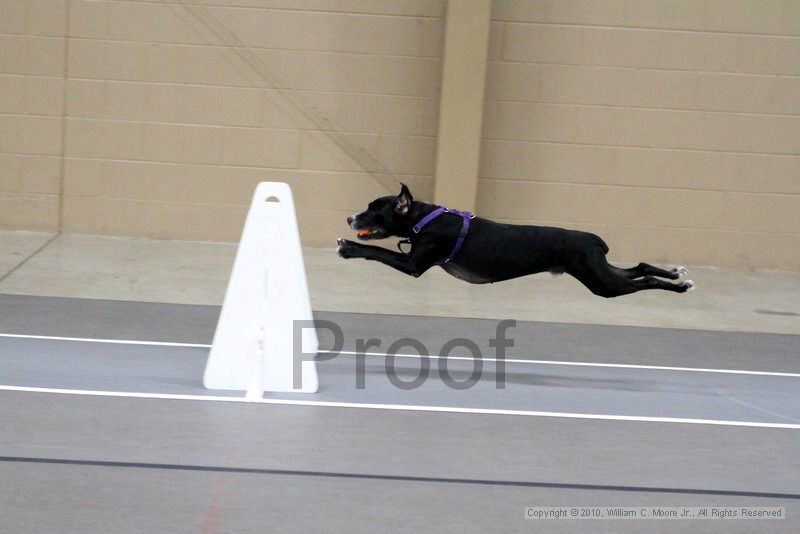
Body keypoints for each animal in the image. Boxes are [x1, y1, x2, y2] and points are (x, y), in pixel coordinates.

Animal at [338, 186, 692, 300]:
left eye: (373, 211)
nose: (350, 218)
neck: (426, 218)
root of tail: (594, 239)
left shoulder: (412, 264)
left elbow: (375, 251)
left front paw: (348, 248)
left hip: (601, 283)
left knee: (643, 280)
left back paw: (680, 287)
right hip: (599, 270)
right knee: (639, 267)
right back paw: (678, 275)